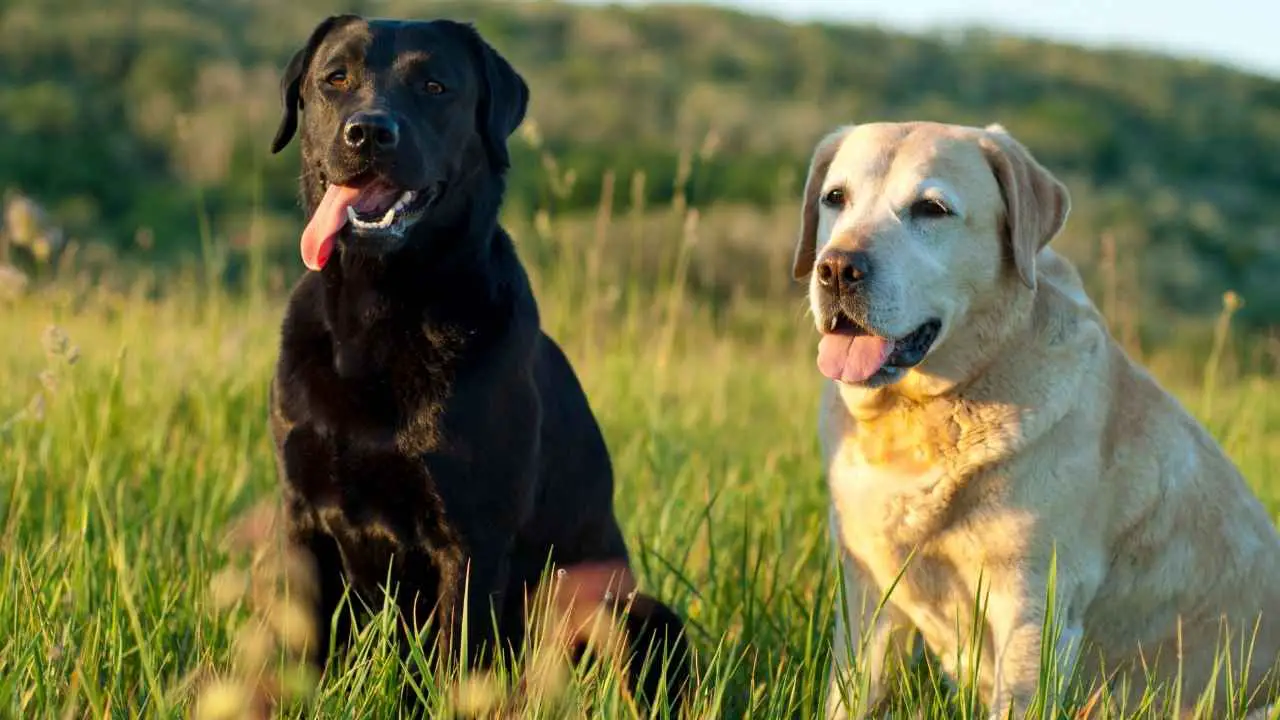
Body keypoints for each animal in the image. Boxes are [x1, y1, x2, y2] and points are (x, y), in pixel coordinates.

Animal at [266, 14, 696, 707]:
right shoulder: (304, 520)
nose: (369, 132)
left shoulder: (470, 539)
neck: (379, 313)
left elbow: (453, 668)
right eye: (335, 78)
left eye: (435, 86)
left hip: (640, 613)